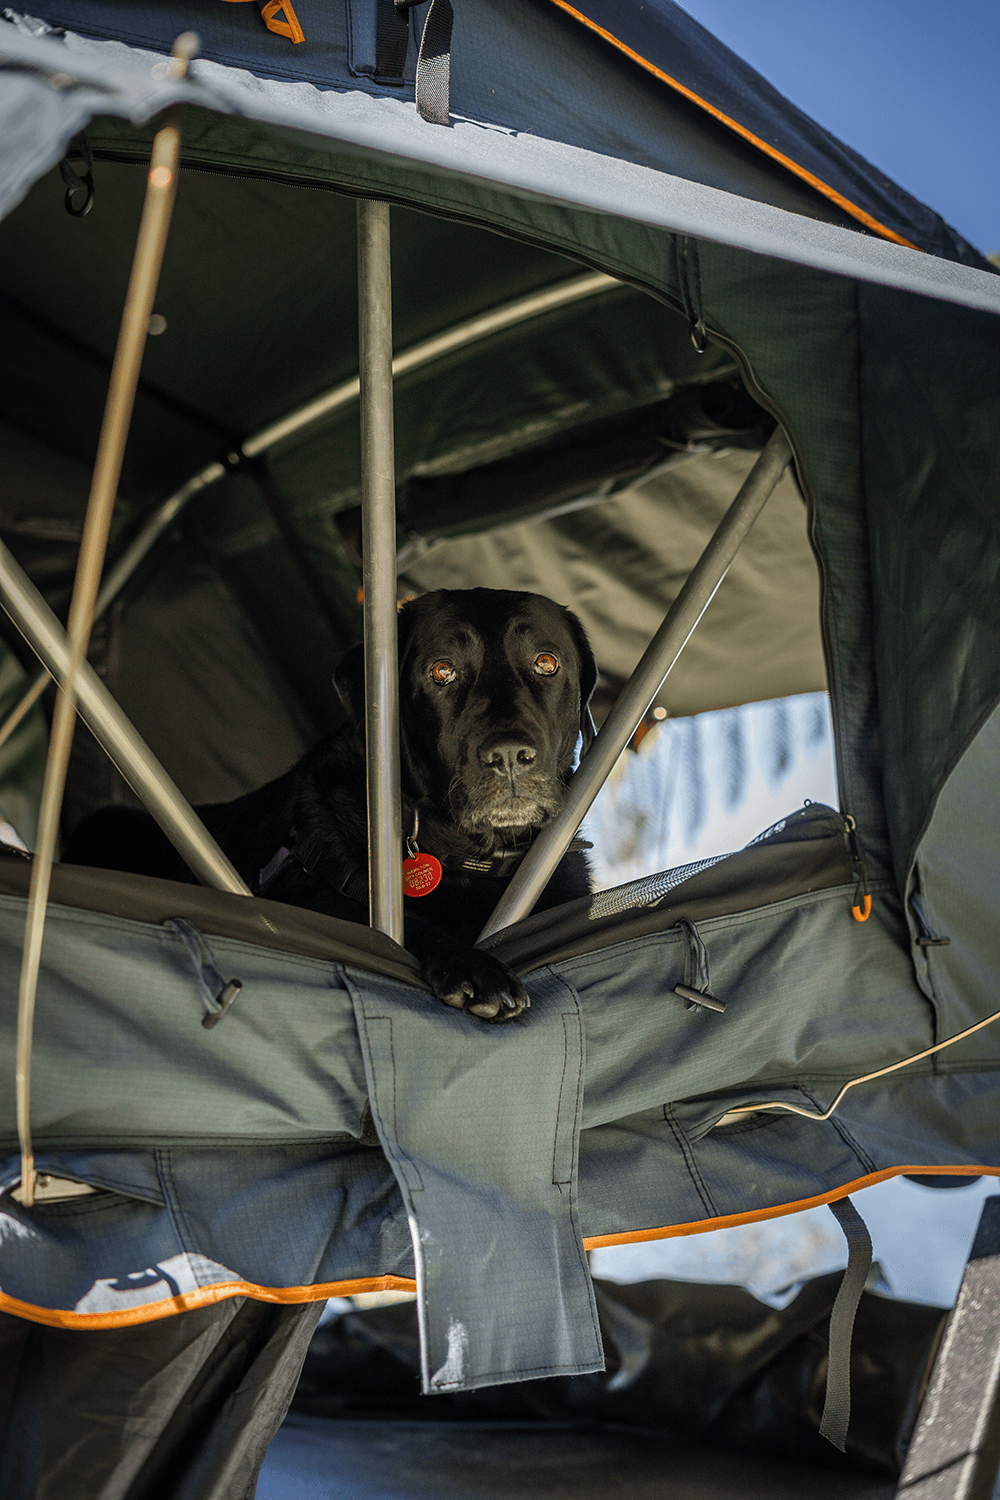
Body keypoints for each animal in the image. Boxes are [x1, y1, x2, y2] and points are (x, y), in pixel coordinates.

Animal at [66, 591, 599, 1026]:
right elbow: (380, 925)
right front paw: (473, 967)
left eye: (546, 662)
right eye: (442, 671)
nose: (508, 755)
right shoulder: (302, 892)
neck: (468, 859)